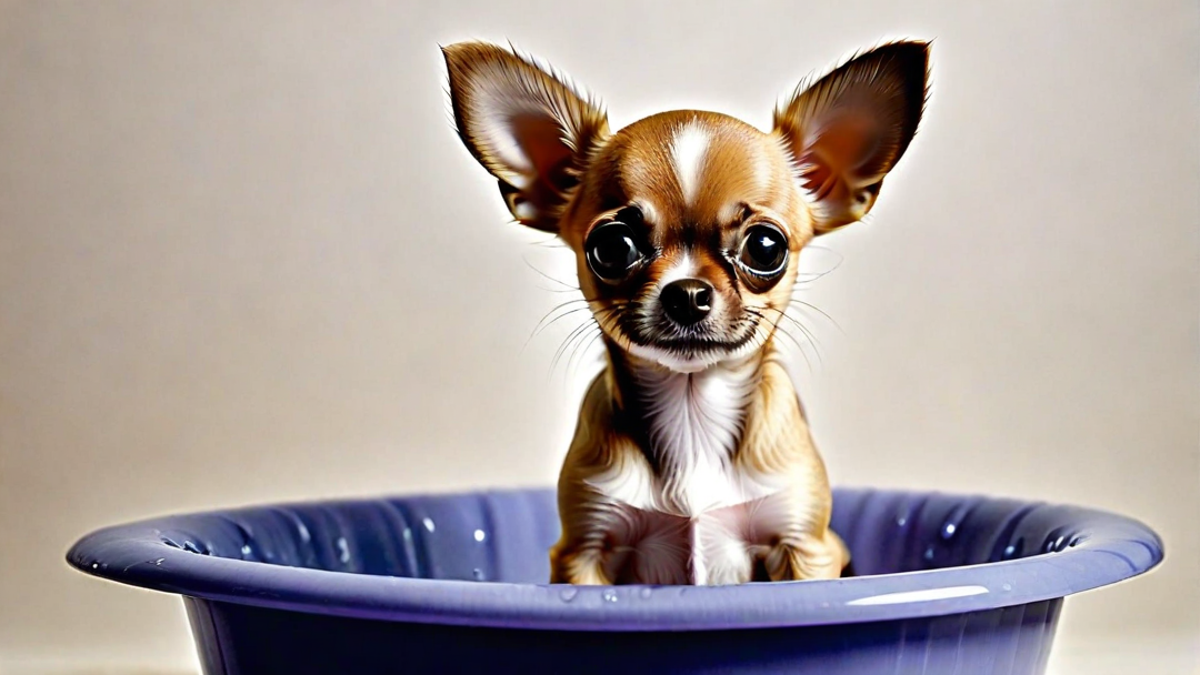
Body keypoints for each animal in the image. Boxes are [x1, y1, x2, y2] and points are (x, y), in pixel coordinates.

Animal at [441, 39, 926, 581]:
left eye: (766, 247)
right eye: (612, 247)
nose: (687, 292)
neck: (693, 411)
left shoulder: (806, 548)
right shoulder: (583, 551)